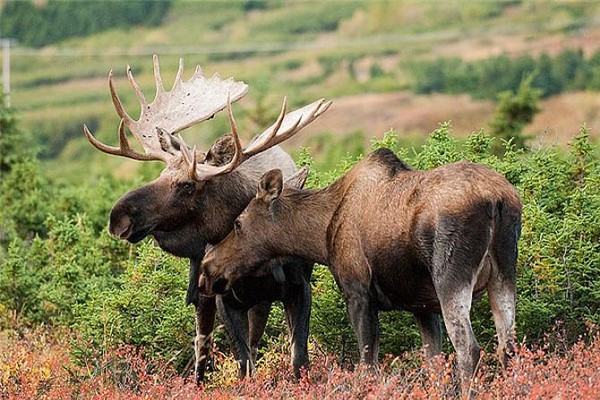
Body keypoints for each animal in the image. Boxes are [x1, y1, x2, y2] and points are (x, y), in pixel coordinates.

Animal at [82, 54, 330, 382]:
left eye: (187, 185)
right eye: (160, 174)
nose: (118, 217)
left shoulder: (298, 289)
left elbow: (298, 360)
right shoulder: (226, 299)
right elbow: (243, 363)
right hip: (204, 292)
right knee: (203, 345)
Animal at [202, 145, 520, 390]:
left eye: (238, 223)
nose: (208, 267)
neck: (322, 237)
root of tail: (498, 201)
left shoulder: (358, 292)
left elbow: (368, 365)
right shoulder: (422, 306)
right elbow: (434, 365)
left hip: (451, 277)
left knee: (470, 350)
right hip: (504, 274)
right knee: (508, 347)